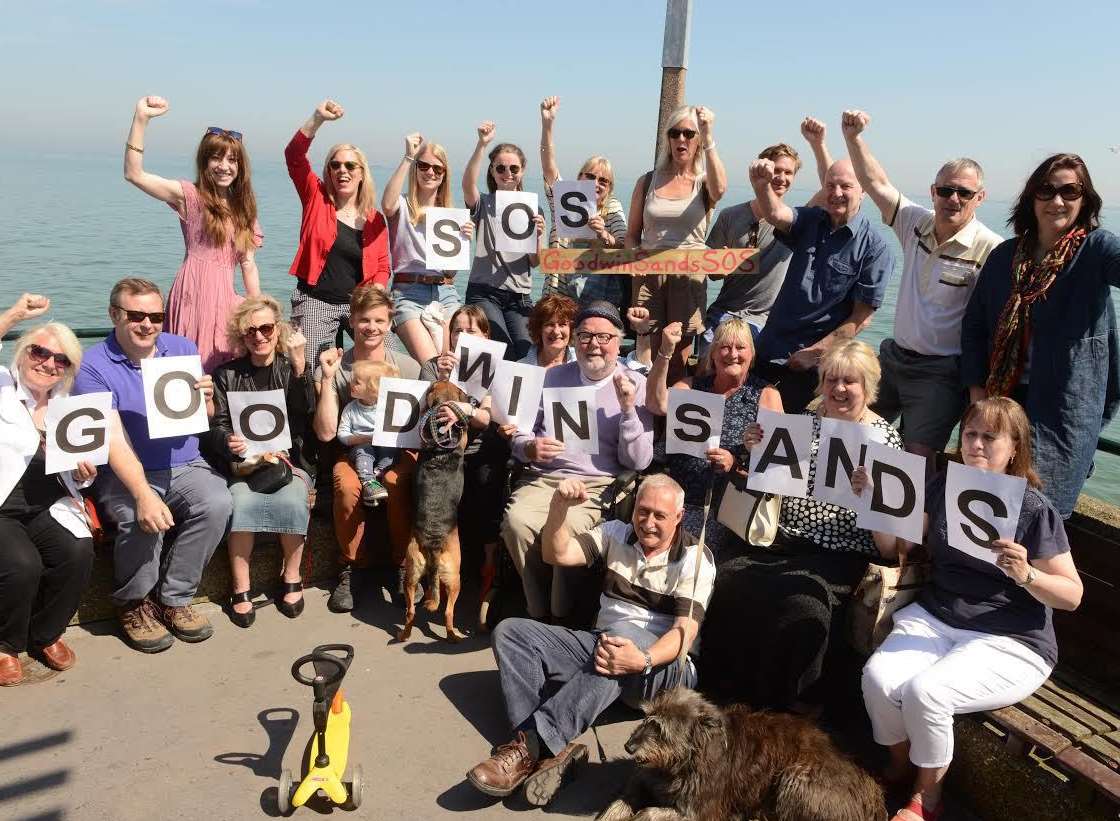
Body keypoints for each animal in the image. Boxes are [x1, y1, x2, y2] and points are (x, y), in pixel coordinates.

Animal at [396, 380, 470, 645]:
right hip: (455, 577)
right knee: (448, 612)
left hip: (411, 572)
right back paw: (454, 636)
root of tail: (433, 543)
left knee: (410, 611)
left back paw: (404, 635)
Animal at [595, 689, 882, 815]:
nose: (629, 747)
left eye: (661, 729)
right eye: (646, 717)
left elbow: (649, 813)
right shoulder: (642, 781)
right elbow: (619, 802)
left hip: (796, 778)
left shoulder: (697, 811)